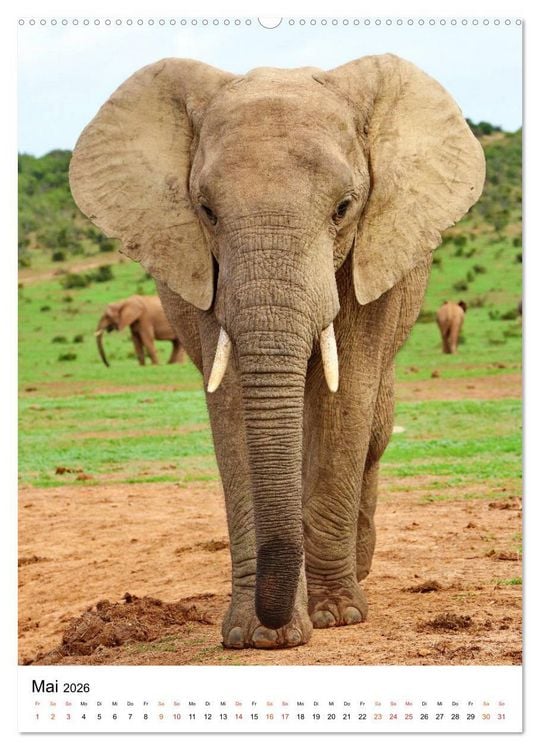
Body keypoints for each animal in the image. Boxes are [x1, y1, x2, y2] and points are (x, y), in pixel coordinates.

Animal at [70, 54, 485, 649]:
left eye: (343, 208)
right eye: (206, 210)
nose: (276, 619)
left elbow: (345, 401)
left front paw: (335, 616)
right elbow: (232, 407)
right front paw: (257, 635)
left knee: (375, 431)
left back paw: (358, 571)